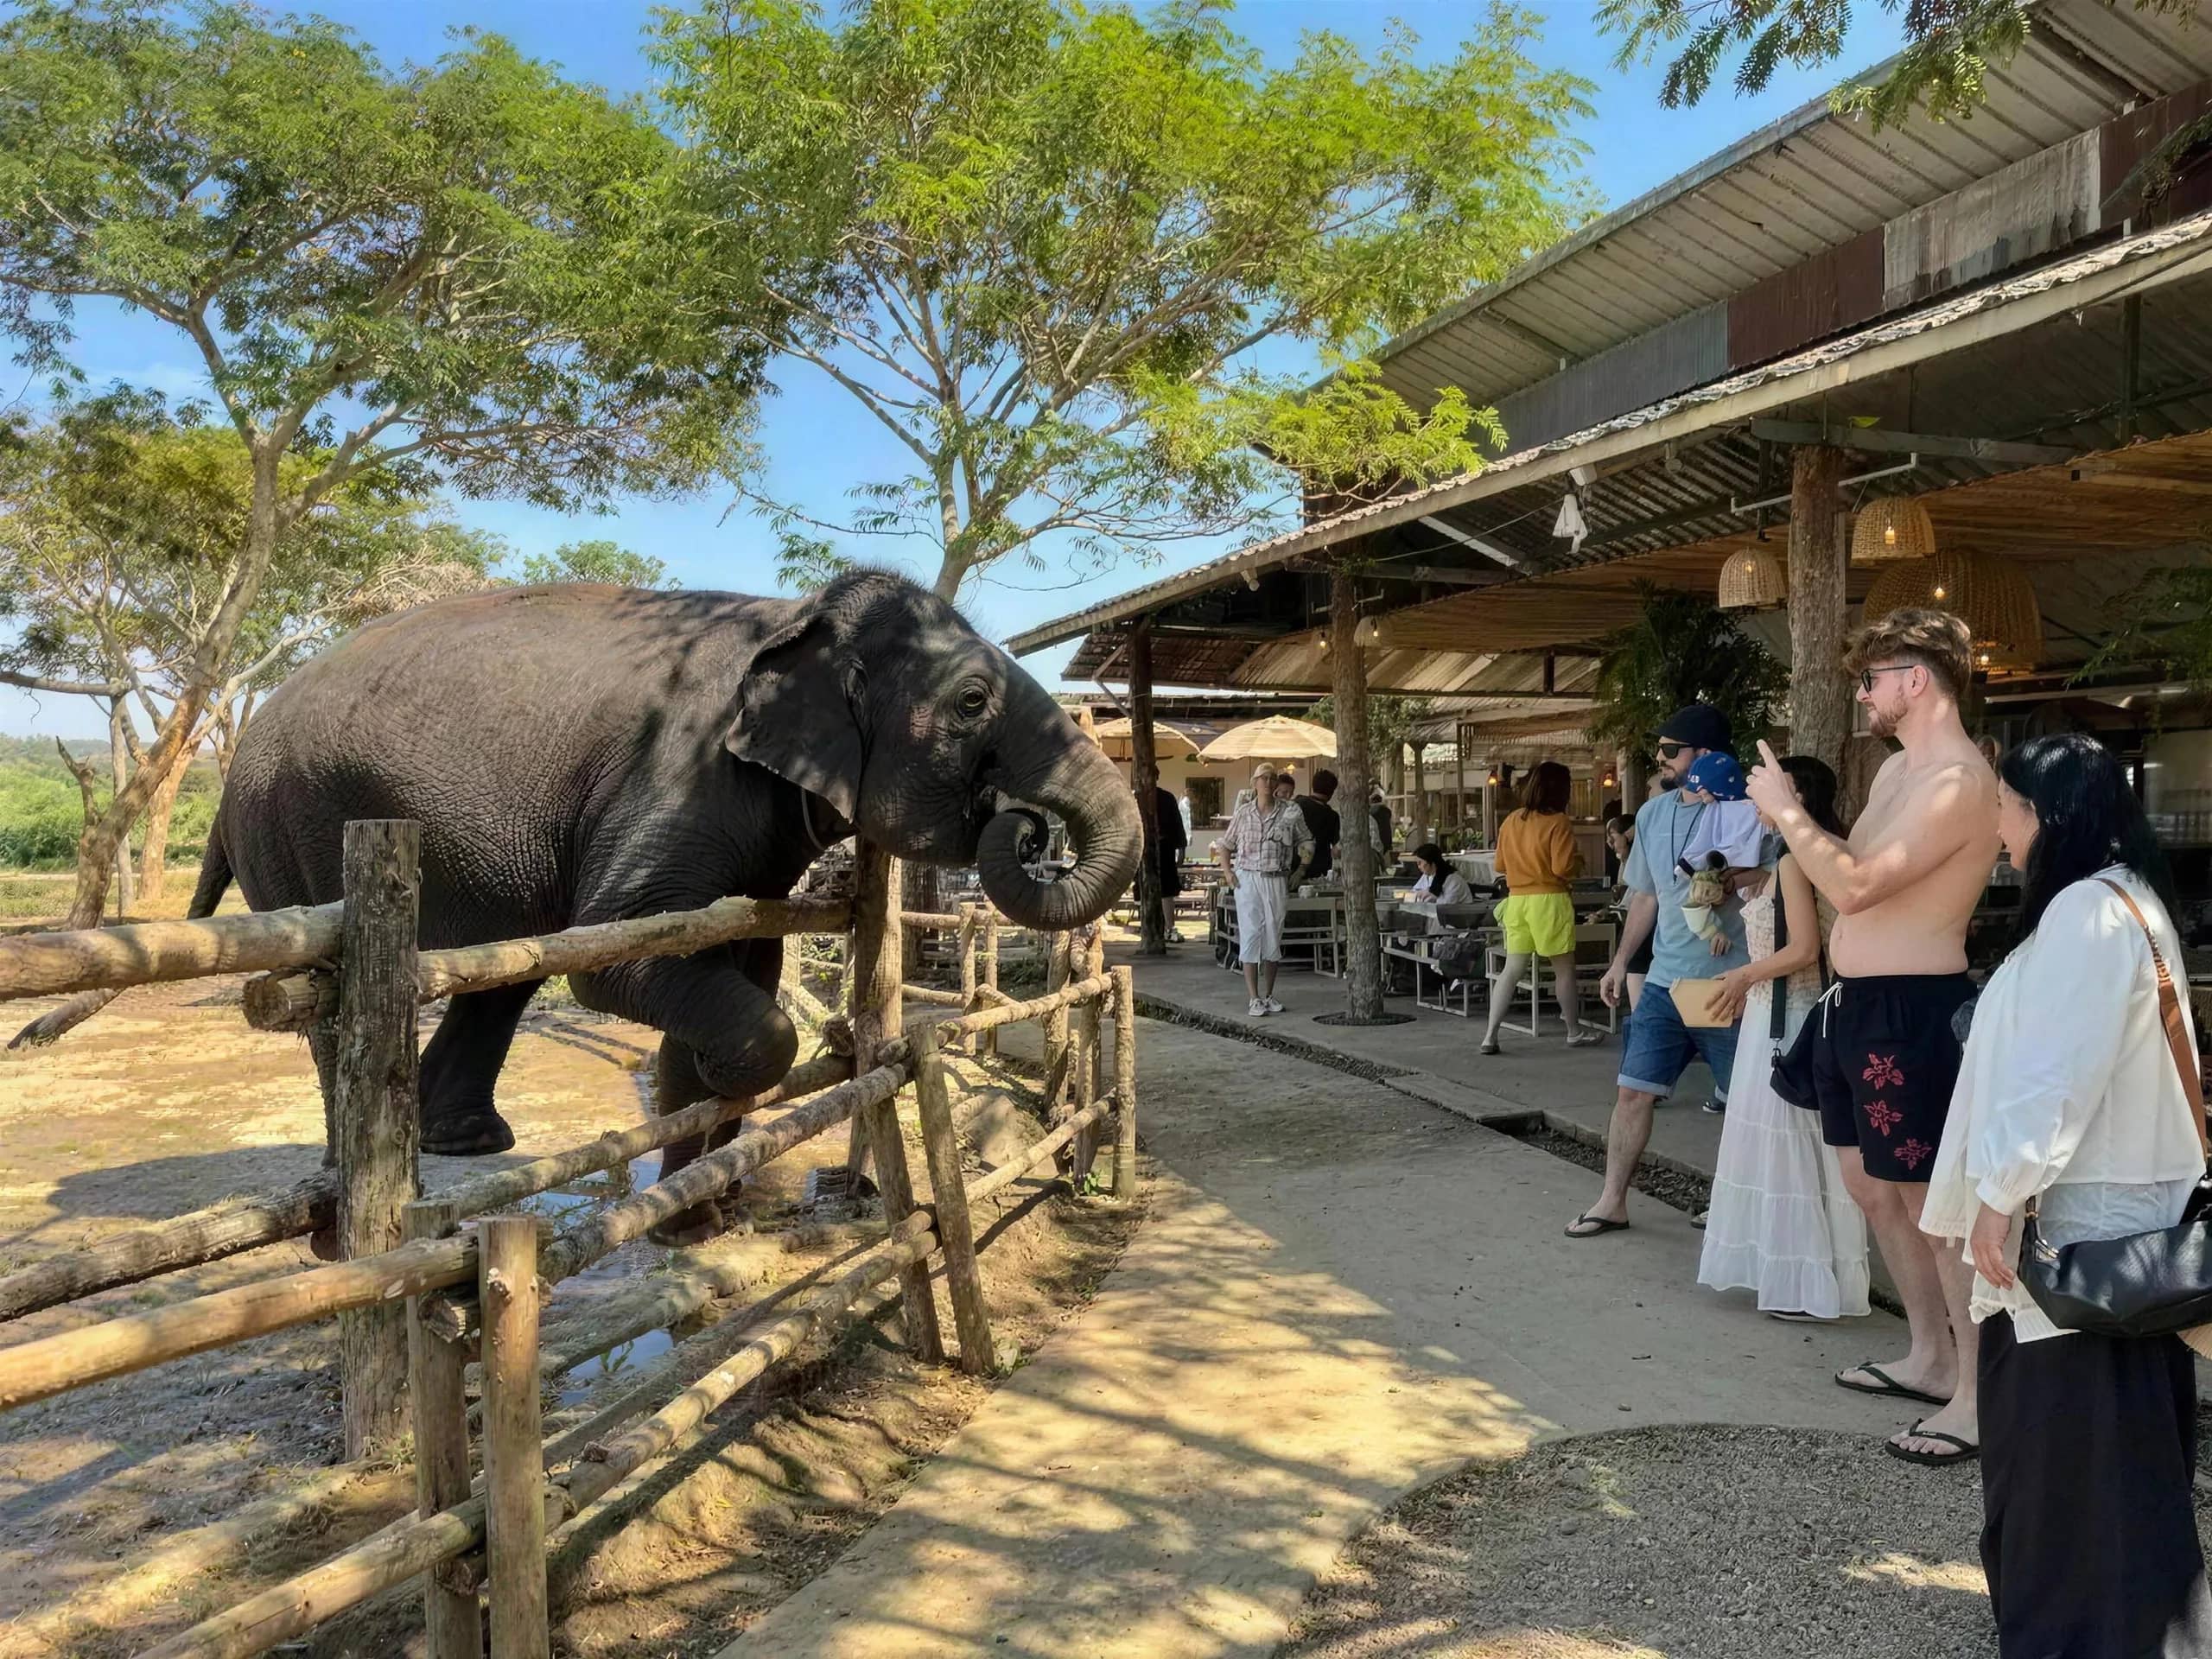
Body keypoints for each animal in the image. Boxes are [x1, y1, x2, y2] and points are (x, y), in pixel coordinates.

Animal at [189, 570, 1141, 1242]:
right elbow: (626, 957)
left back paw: (465, 1146)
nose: (1026, 825)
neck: (792, 617)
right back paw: (356, 1212)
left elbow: (740, 961)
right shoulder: (681, 775)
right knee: (337, 1009)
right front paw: (709, 1151)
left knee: (503, 974)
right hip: (298, 838)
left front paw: (701, 1211)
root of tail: (232, 765)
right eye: (972, 702)